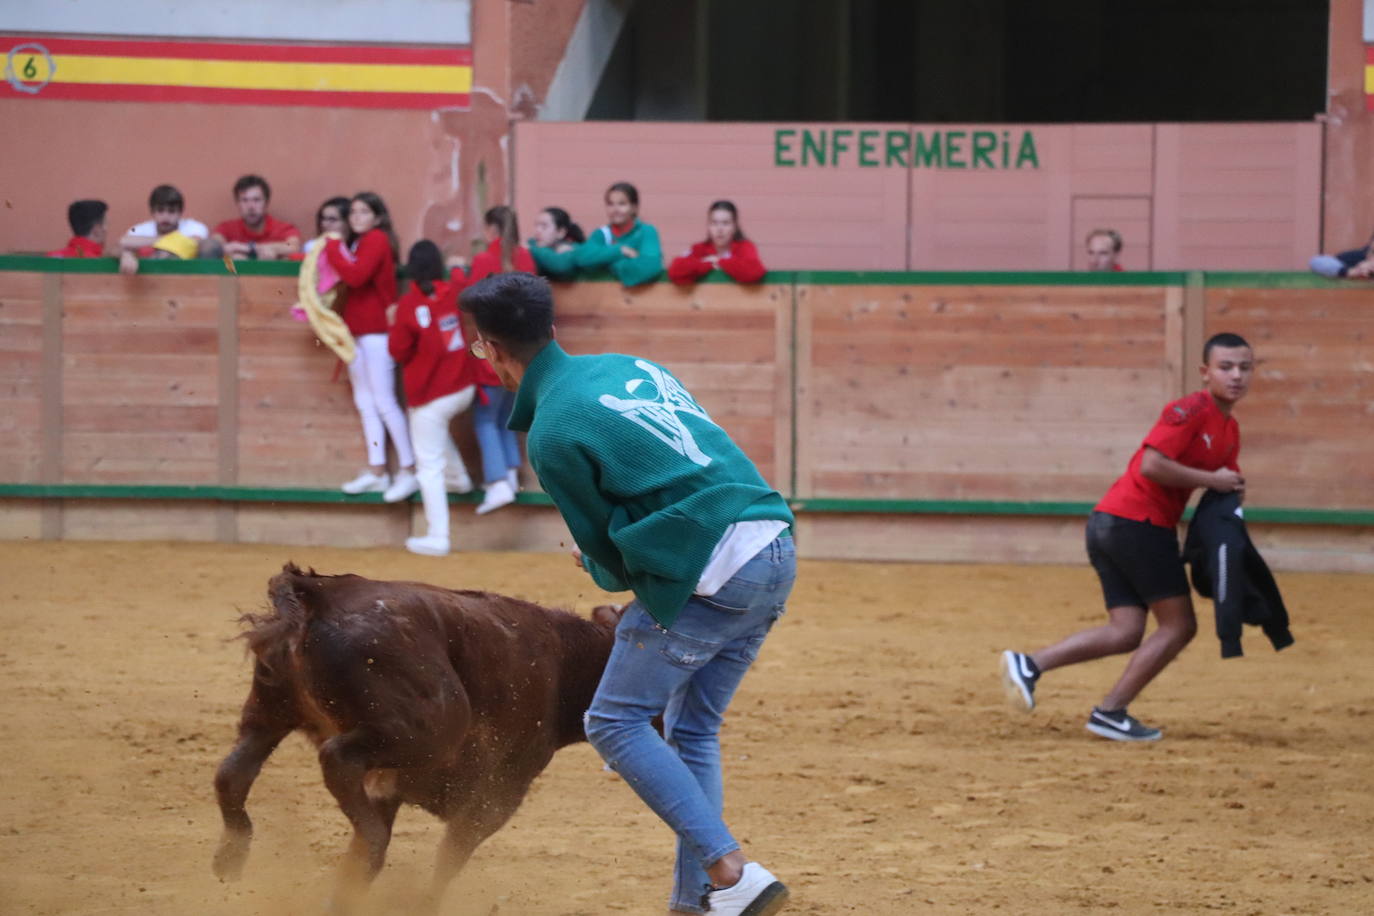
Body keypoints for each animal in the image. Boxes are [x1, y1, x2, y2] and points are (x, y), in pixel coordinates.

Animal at [212, 563, 623, 911]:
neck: (566, 660)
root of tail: (320, 593)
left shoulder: (387, 790)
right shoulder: (498, 795)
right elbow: (451, 856)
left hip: (269, 711)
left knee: (232, 774)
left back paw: (231, 856)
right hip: (429, 730)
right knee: (338, 760)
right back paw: (372, 842)